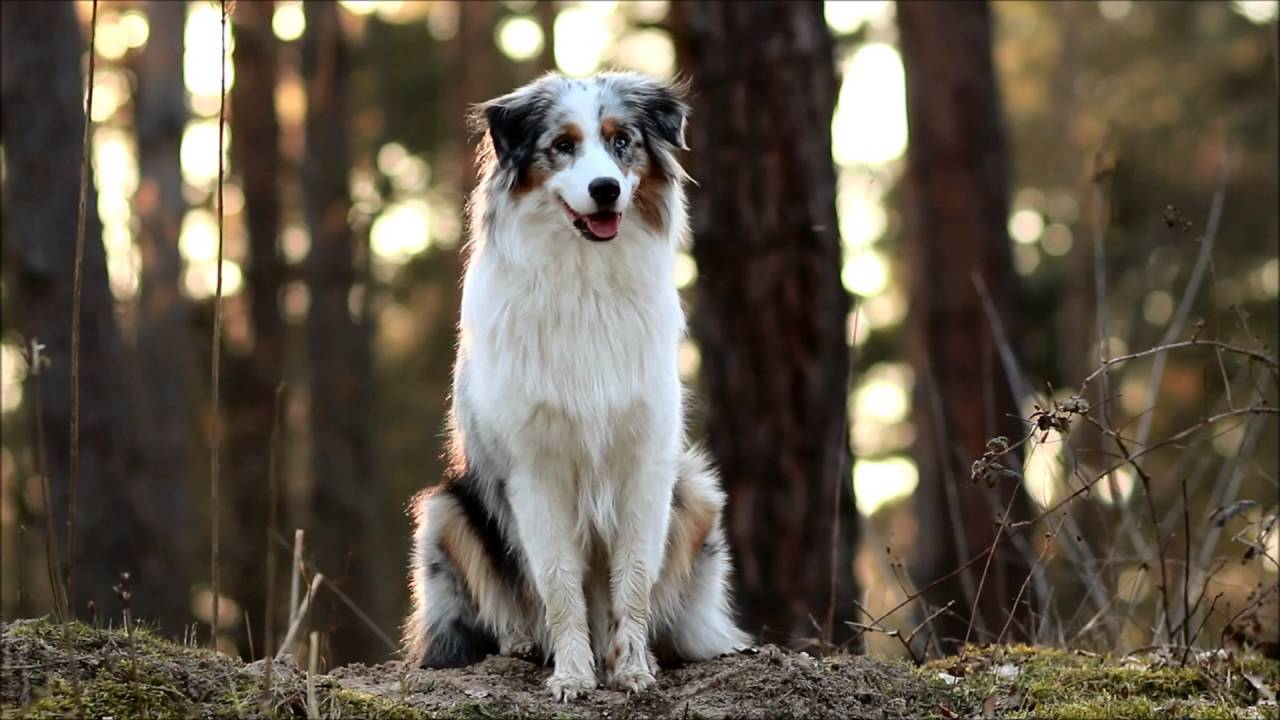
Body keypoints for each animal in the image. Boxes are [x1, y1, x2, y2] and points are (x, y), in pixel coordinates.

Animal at [404, 71, 747, 696]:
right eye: (562, 145)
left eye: (621, 142)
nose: (606, 189)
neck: (585, 280)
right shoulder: (533, 470)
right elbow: (559, 582)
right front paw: (572, 674)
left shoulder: (645, 461)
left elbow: (633, 577)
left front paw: (632, 668)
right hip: (442, 511)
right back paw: (522, 644)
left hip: (699, 492)